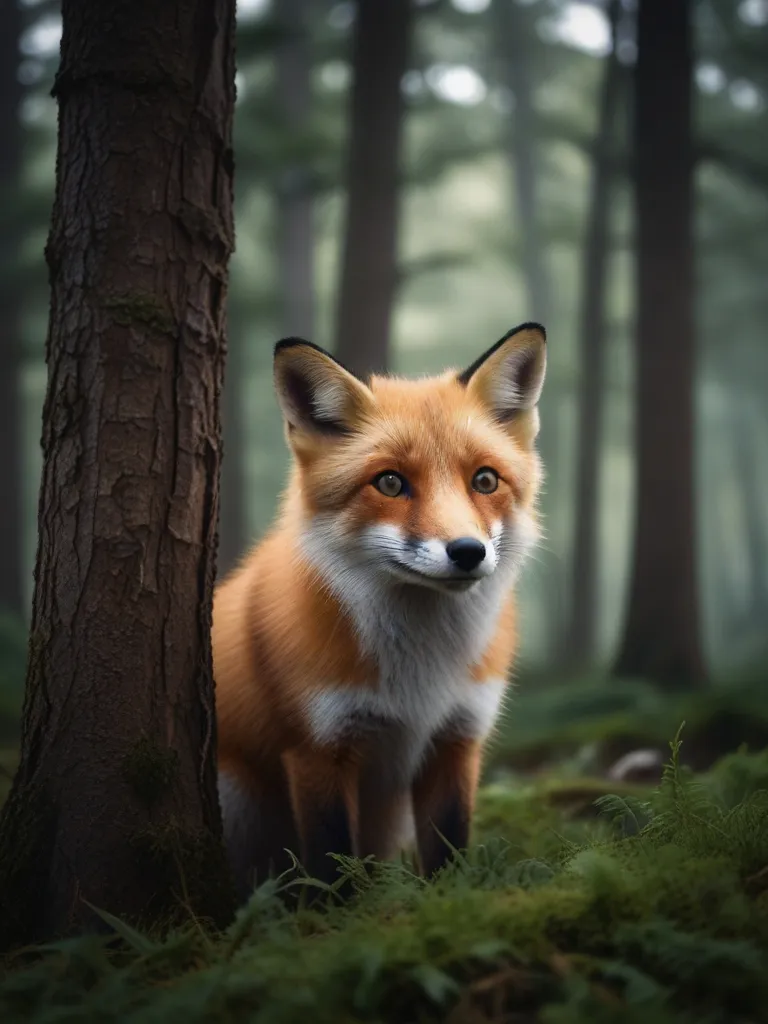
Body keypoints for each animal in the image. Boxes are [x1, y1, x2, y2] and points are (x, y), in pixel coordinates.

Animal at [210, 319, 548, 897]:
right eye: (390, 482)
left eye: (485, 480)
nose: (467, 551)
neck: (420, 674)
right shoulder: (317, 750)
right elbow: (332, 870)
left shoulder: (456, 741)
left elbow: (449, 854)